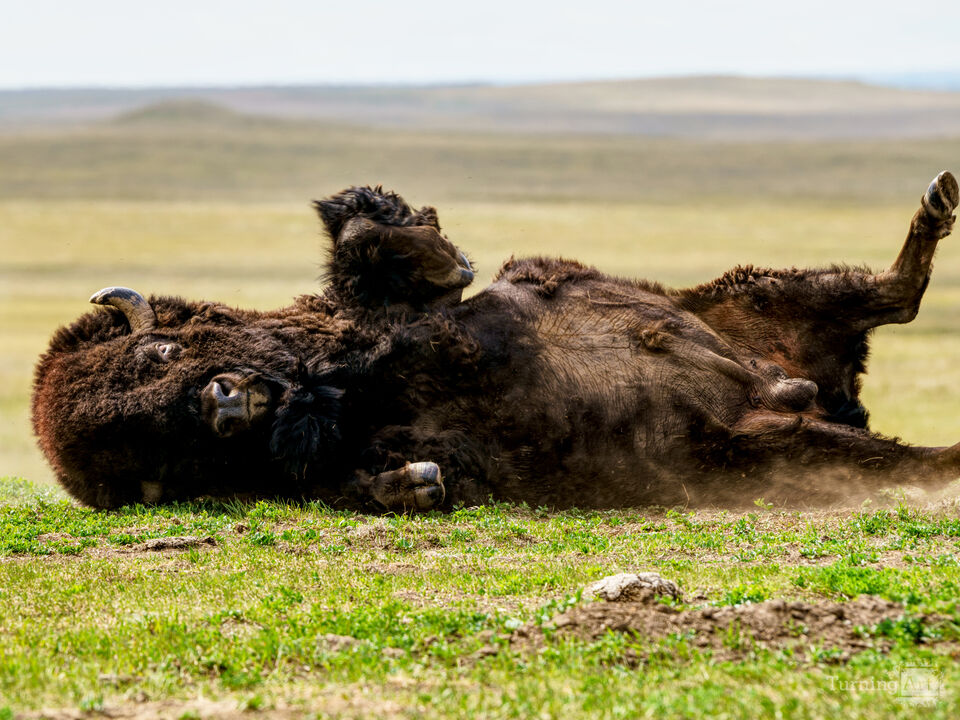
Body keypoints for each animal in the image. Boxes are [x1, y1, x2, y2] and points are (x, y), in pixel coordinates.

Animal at [32, 172, 960, 510]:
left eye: (153, 356)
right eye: (162, 452)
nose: (226, 404)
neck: (352, 391)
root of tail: (824, 395)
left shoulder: (399, 318)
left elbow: (384, 259)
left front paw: (395, 222)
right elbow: (379, 479)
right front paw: (415, 482)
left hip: (751, 295)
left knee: (895, 296)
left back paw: (938, 200)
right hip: (774, 447)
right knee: (912, 446)